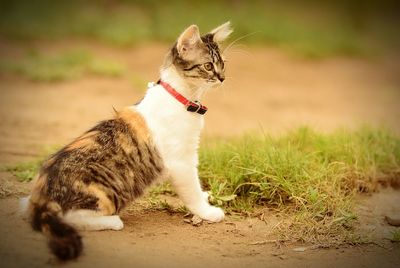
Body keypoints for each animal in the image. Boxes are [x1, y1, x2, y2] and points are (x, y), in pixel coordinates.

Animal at [26, 22, 233, 260]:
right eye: (208, 66)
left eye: (223, 63)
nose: (222, 78)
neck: (181, 99)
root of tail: (41, 193)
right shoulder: (181, 162)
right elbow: (191, 190)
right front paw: (207, 211)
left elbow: (197, 187)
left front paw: (205, 197)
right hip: (104, 194)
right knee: (68, 216)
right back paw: (113, 221)